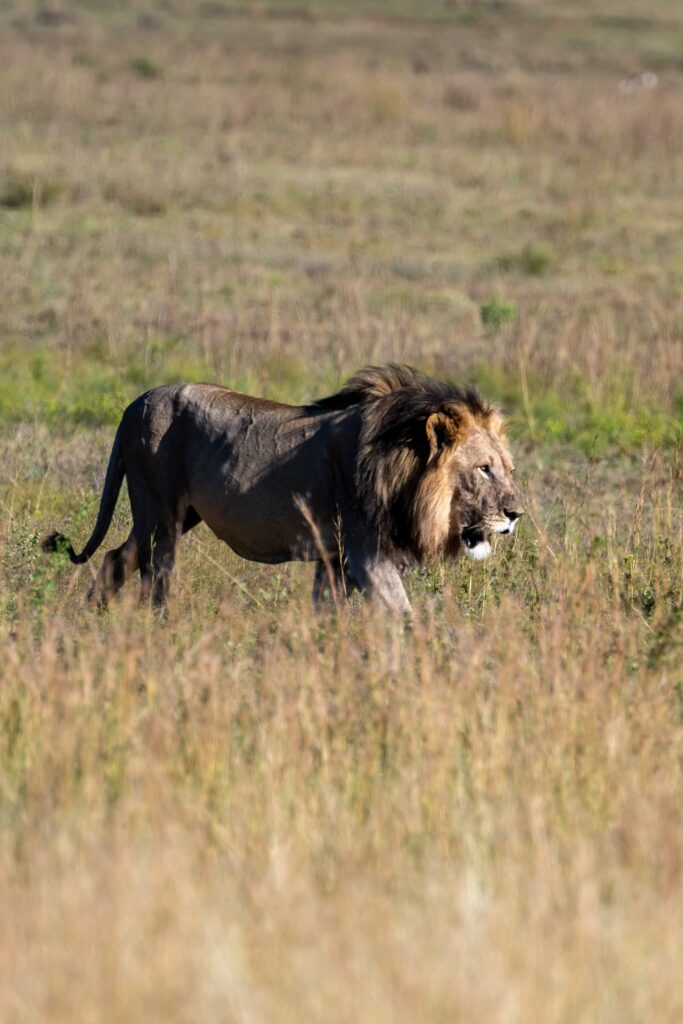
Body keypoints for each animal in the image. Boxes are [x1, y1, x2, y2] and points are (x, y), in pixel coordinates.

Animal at [42, 364, 524, 610]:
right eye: (483, 469)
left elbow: (327, 612)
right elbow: (403, 616)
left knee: (116, 559)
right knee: (151, 578)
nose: (516, 514)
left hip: (172, 515)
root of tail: (134, 404)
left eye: (507, 468)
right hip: (160, 512)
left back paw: (92, 623)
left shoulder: (335, 557)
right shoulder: (367, 553)